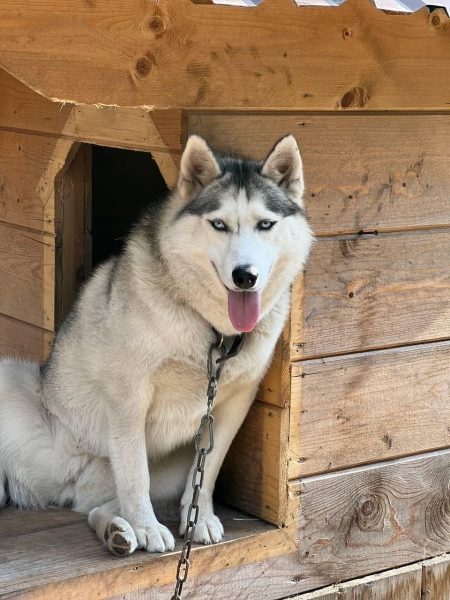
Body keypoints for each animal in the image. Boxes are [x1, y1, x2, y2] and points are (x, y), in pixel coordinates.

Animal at [0, 136, 312, 556]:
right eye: (219, 224)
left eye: (265, 224)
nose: (245, 276)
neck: (211, 330)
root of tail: (65, 484)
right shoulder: (128, 396)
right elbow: (135, 475)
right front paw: (148, 527)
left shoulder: (234, 403)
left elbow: (207, 471)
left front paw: (200, 518)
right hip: (12, 383)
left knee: (97, 508)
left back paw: (117, 531)